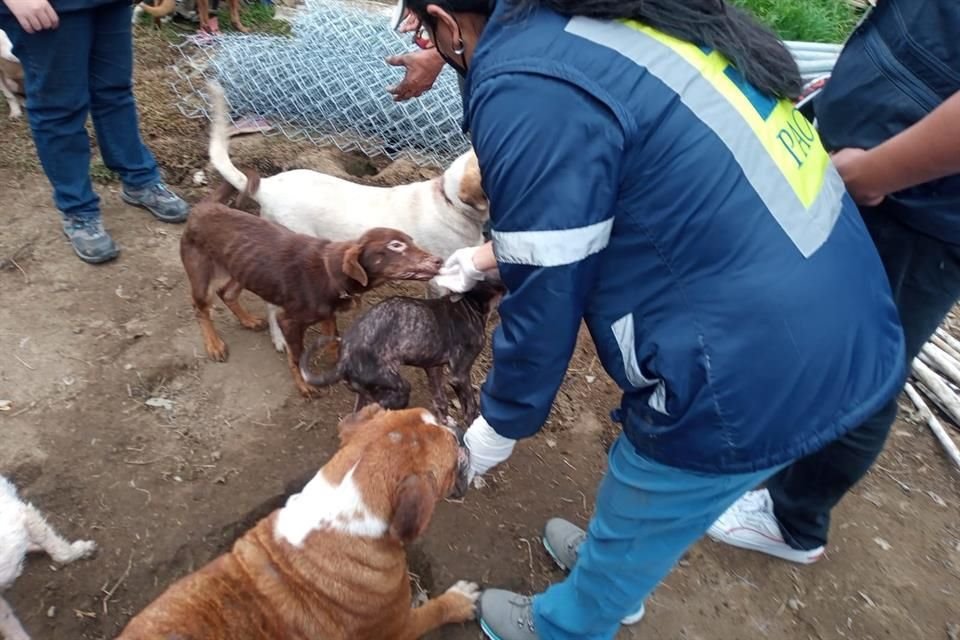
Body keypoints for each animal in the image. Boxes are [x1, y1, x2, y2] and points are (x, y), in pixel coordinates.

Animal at [116, 404, 480, 640]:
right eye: (452, 451)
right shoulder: (398, 628)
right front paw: (459, 601)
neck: (344, 508)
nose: (457, 428)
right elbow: (433, 611)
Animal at [180, 180, 442, 398]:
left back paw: (248, 320)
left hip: (243, 269)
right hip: (201, 274)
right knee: (200, 307)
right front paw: (304, 385)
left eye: (412, 240)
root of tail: (204, 206)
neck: (331, 272)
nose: (439, 260)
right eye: (396, 246)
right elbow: (296, 356)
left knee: (227, 292)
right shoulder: (289, 321)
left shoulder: (328, 314)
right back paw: (214, 345)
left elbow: (334, 340)